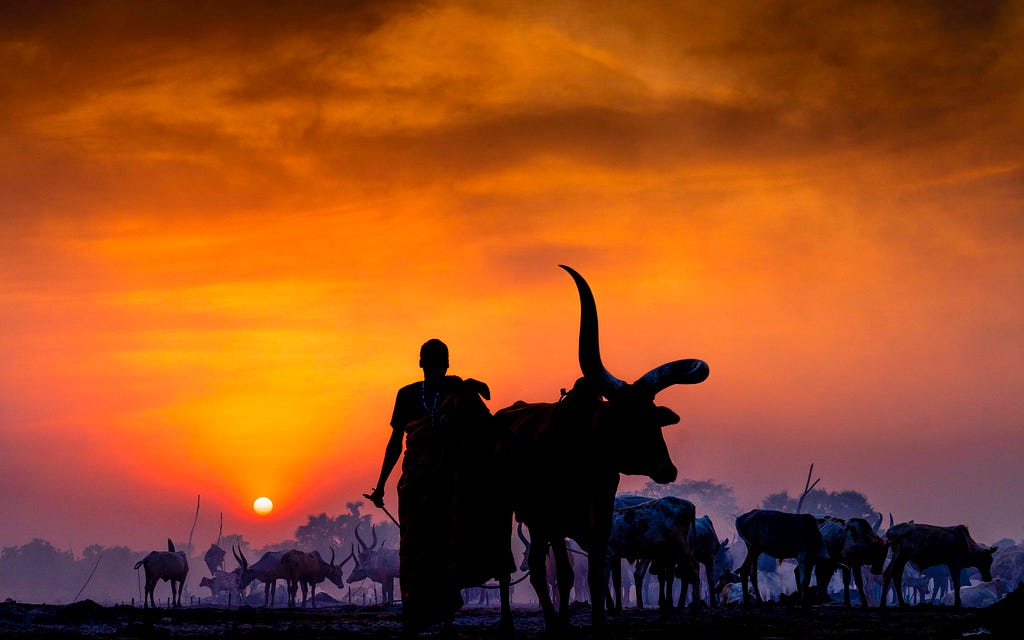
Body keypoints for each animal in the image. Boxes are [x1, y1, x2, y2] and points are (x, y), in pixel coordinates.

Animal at [491, 264, 708, 630]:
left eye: (654, 417)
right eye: (630, 419)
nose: (668, 469)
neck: (585, 458)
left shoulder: (600, 522)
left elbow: (594, 577)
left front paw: (597, 624)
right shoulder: (555, 521)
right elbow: (566, 575)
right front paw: (565, 625)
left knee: (536, 567)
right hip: (507, 509)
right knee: (512, 567)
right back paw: (512, 622)